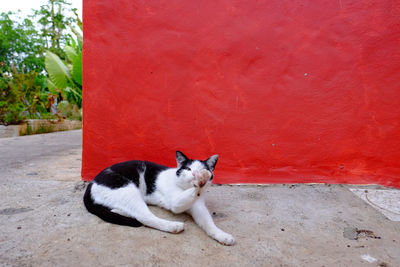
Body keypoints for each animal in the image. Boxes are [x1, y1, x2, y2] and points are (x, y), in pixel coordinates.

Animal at [83, 151, 236, 247]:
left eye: (201, 169)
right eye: (188, 169)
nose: (194, 174)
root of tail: (91, 182)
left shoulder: (198, 207)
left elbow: (208, 223)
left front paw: (222, 236)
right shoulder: (175, 203)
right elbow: (190, 192)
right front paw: (201, 180)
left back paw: (119, 211)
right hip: (128, 189)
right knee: (144, 217)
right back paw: (173, 226)